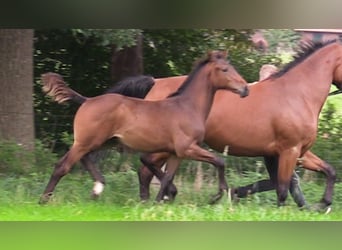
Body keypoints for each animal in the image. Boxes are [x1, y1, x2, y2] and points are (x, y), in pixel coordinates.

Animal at [39, 50, 248, 203]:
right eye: (224, 69)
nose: (245, 89)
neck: (187, 106)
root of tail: (87, 100)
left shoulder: (176, 153)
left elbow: (167, 177)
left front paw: (159, 200)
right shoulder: (187, 148)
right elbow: (219, 161)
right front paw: (218, 196)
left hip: (102, 142)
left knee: (85, 159)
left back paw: (98, 188)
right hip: (86, 142)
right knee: (62, 166)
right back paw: (44, 200)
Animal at [138, 40, 342, 209]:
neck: (297, 94)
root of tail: (155, 82)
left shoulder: (297, 152)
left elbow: (328, 171)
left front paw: (323, 203)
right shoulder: (290, 150)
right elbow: (283, 188)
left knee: (146, 170)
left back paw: (150, 201)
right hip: (167, 146)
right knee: (146, 167)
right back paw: (160, 197)